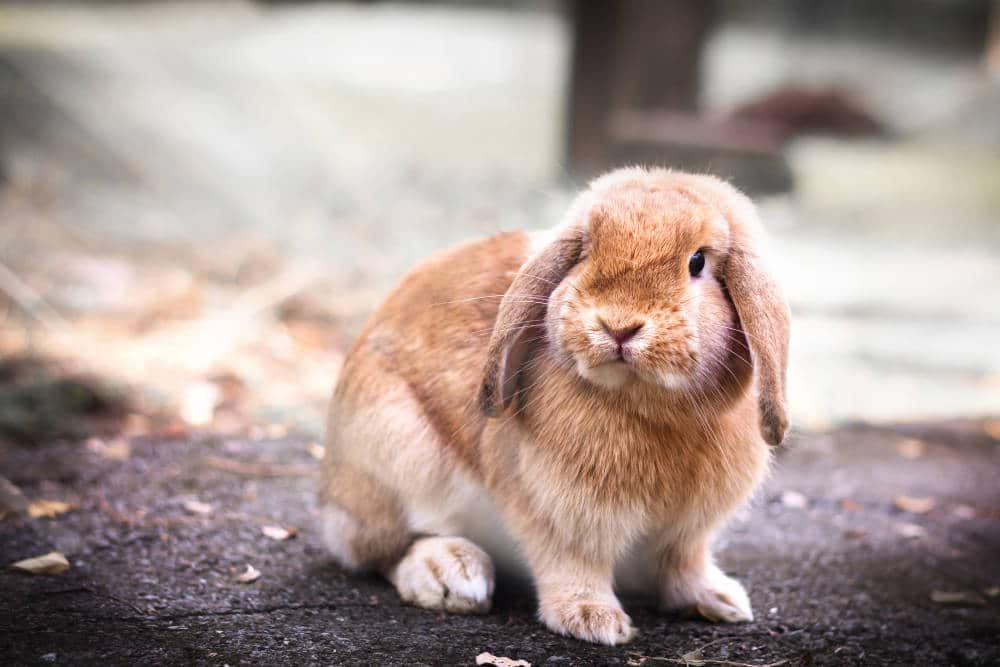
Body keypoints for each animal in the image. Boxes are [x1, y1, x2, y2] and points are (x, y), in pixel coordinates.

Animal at [318, 167, 788, 648]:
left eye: (697, 263)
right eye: (585, 252)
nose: (618, 326)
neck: (651, 406)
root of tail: (330, 496)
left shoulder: (685, 533)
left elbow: (682, 566)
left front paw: (720, 601)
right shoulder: (554, 511)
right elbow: (570, 563)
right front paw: (593, 621)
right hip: (399, 457)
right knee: (383, 548)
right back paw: (449, 575)